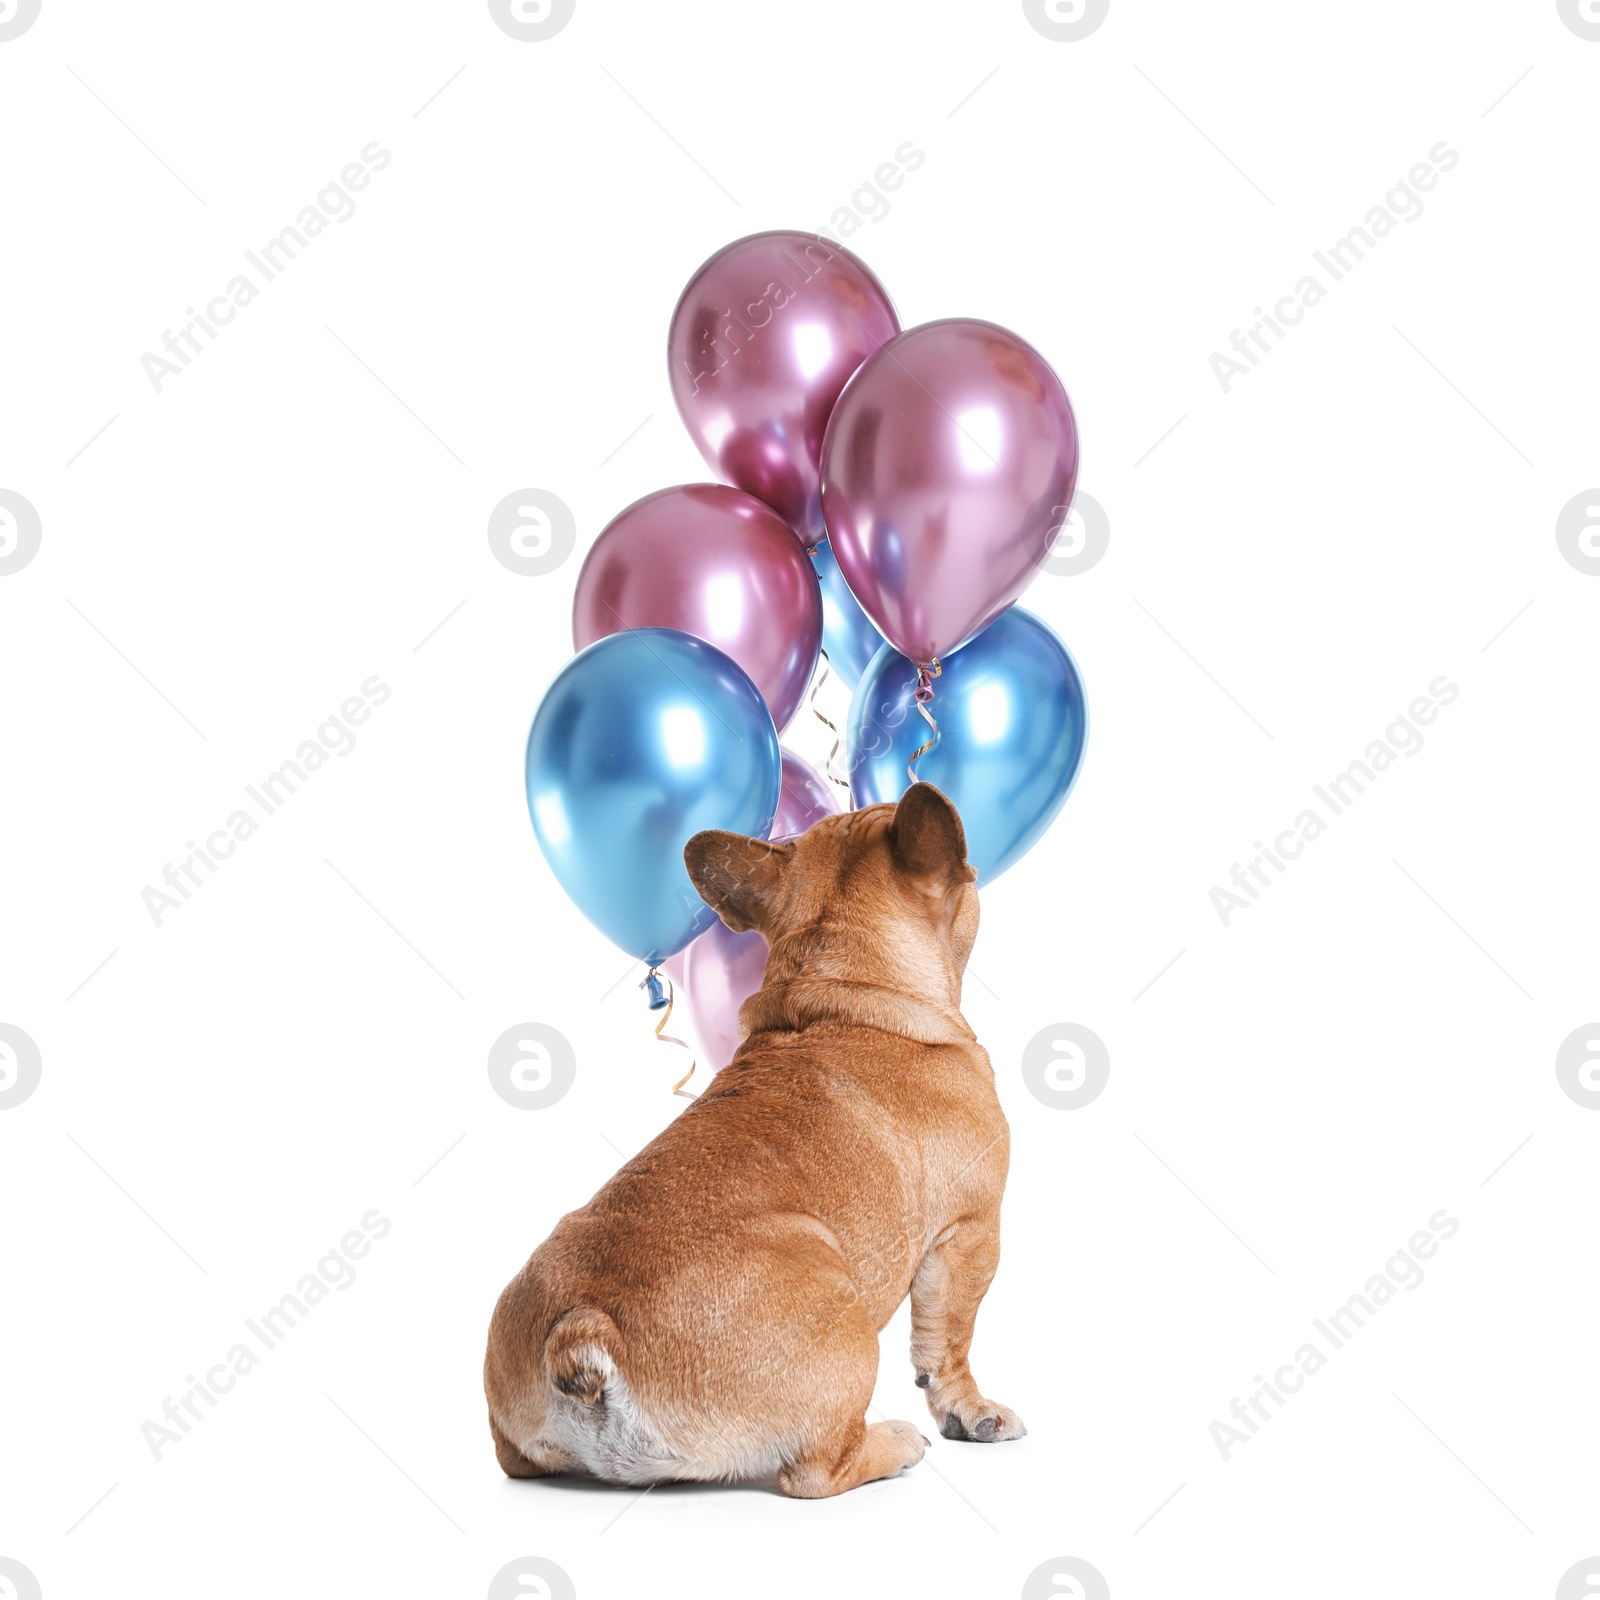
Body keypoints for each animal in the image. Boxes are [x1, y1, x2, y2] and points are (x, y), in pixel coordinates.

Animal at [480, 787, 1017, 1497]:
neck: (839, 996)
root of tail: (582, 1332)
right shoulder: (971, 1232)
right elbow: (948, 1341)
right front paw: (973, 1413)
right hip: (839, 1307)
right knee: (819, 1468)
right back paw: (894, 1444)